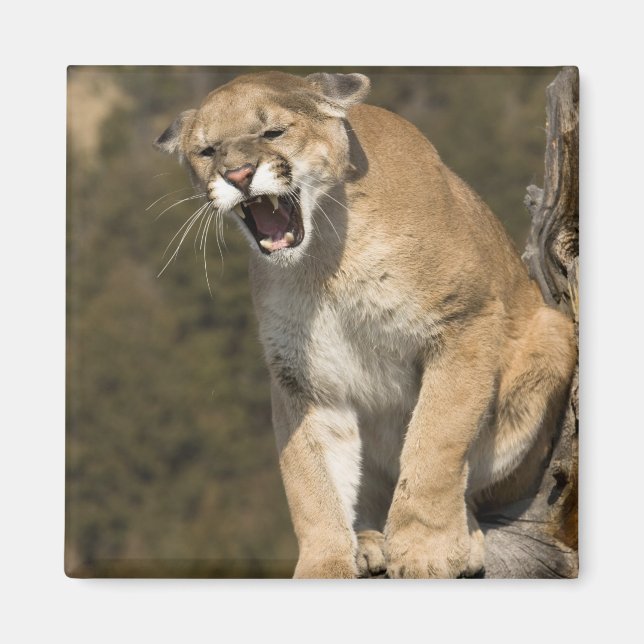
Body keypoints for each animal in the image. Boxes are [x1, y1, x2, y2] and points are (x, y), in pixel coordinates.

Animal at [155, 71, 576, 578]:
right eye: (207, 150)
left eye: (273, 132)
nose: (236, 175)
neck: (324, 259)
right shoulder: (302, 377)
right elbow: (308, 477)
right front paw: (324, 564)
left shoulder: (464, 321)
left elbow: (436, 440)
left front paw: (426, 548)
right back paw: (370, 540)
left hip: (550, 335)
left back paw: (461, 538)